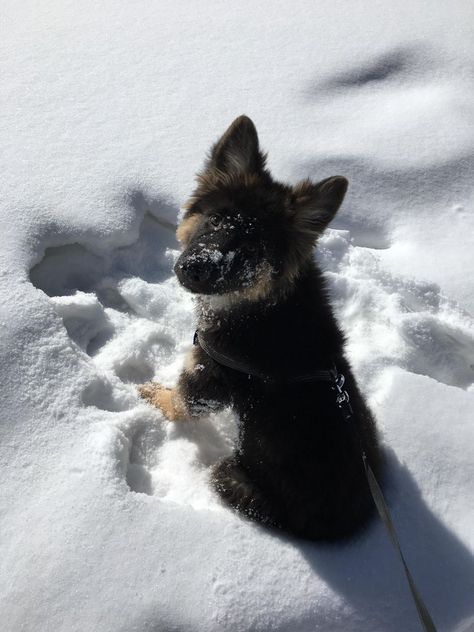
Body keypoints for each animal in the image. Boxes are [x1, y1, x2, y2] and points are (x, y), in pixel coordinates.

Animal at [139, 117, 380, 540]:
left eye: (252, 251)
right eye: (216, 219)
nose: (194, 269)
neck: (261, 304)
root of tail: (344, 528)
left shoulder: (207, 377)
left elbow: (178, 402)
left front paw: (152, 393)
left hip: (229, 476)